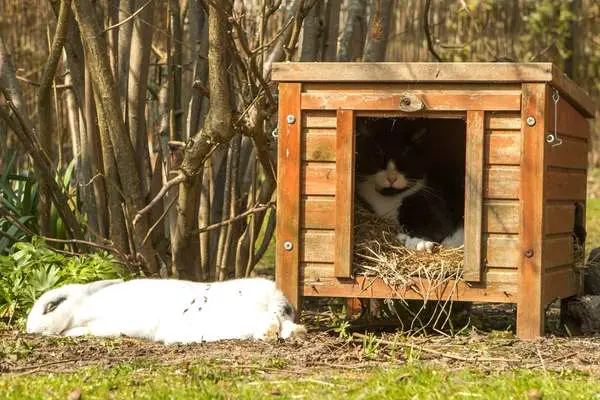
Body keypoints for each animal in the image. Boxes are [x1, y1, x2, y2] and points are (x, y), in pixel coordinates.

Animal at [356, 117, 464, 252]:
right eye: (378, 158)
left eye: (405, 160)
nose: (391, 178)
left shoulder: (434, 203)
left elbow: (437, 225)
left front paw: (419, 241)